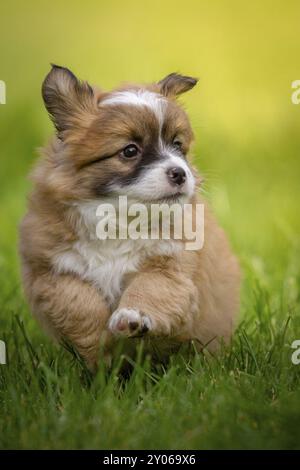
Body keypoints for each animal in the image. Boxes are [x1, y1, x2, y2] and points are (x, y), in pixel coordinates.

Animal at [18, 65, 240, 370]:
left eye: (177, 145)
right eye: (130, 150)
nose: (180, 173)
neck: (119, 221)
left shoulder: (170, 268)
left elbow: (148, 290)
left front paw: (130, 317)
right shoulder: (54, 271)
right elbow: (80, 303)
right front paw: (101, 348)